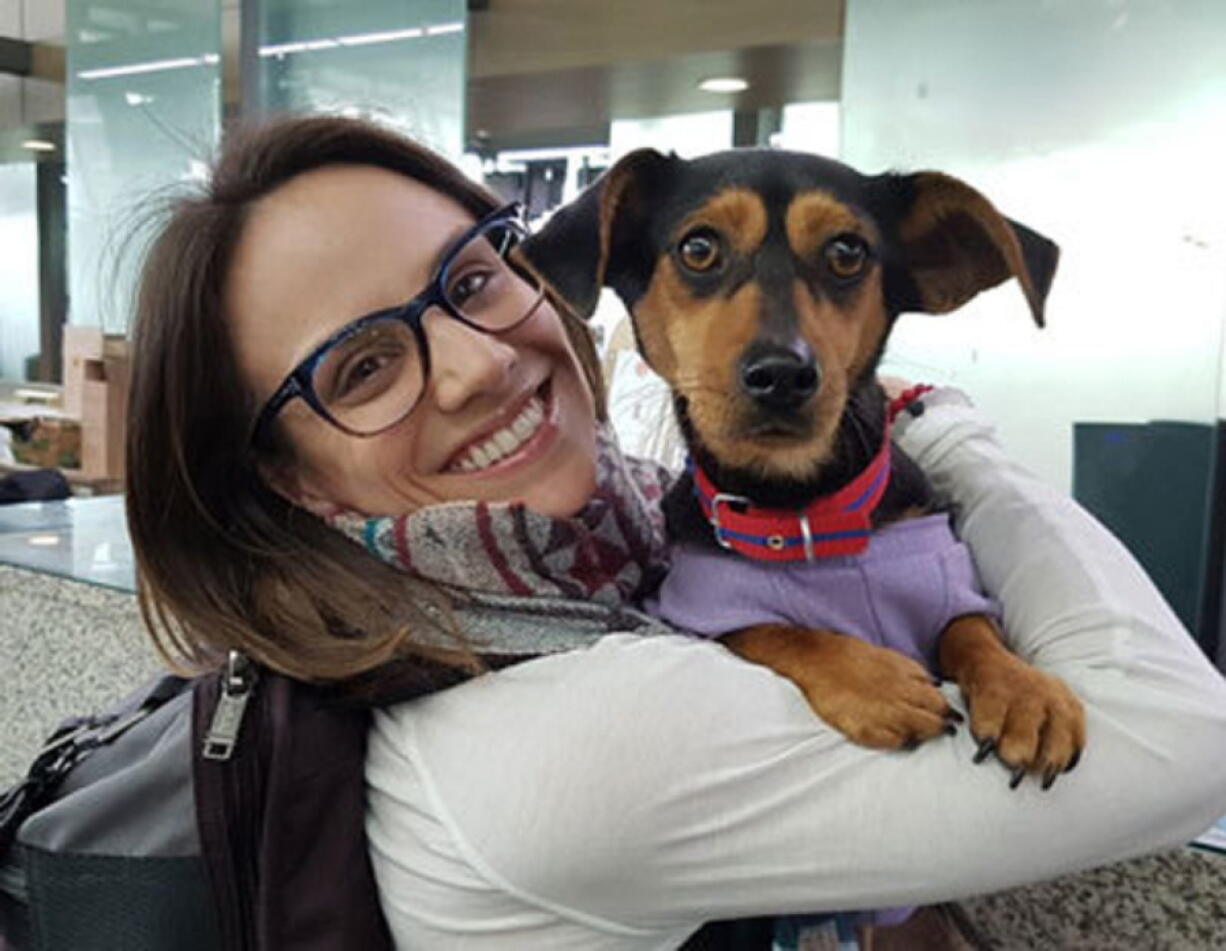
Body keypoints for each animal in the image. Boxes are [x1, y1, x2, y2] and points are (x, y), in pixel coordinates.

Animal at [517, 146, 1083, 789]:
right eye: (698, 248)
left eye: (847, 252)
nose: (782, 374)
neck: (803, 507)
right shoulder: (702, 606)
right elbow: (778, 629)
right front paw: (874, 684)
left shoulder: (947, 573)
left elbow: (972, 628)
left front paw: (1023, 692)